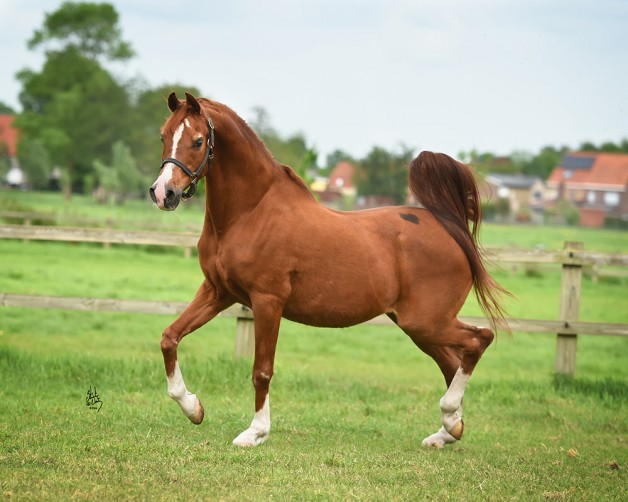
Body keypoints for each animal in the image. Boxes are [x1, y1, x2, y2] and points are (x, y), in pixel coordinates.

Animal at [150, 91, 508, 448]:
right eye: (164, 136)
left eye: (198, 140)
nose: (163, 193)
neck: (251, 212)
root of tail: (448, 227)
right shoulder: (218, 291)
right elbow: (169, 338)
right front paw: (193, 408)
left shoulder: (267, 301)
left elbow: (262, 370)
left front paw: (255, 432)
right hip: (418, 325)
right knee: (453, 361)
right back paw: (447, 431)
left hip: (425, 321)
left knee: (479, 339)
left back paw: (448, 417)